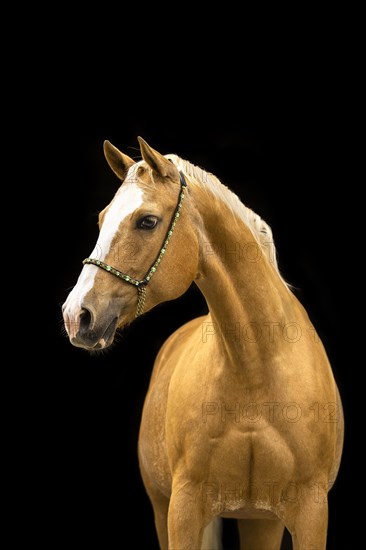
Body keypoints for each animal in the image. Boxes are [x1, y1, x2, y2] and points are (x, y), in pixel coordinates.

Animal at [62, 136, 344, 548]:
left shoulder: (311, 511)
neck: (255, 368)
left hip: (261, 521)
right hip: (163, 507)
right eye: (102, 220)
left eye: (147, 221)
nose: (76, 315)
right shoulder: (183, 509)